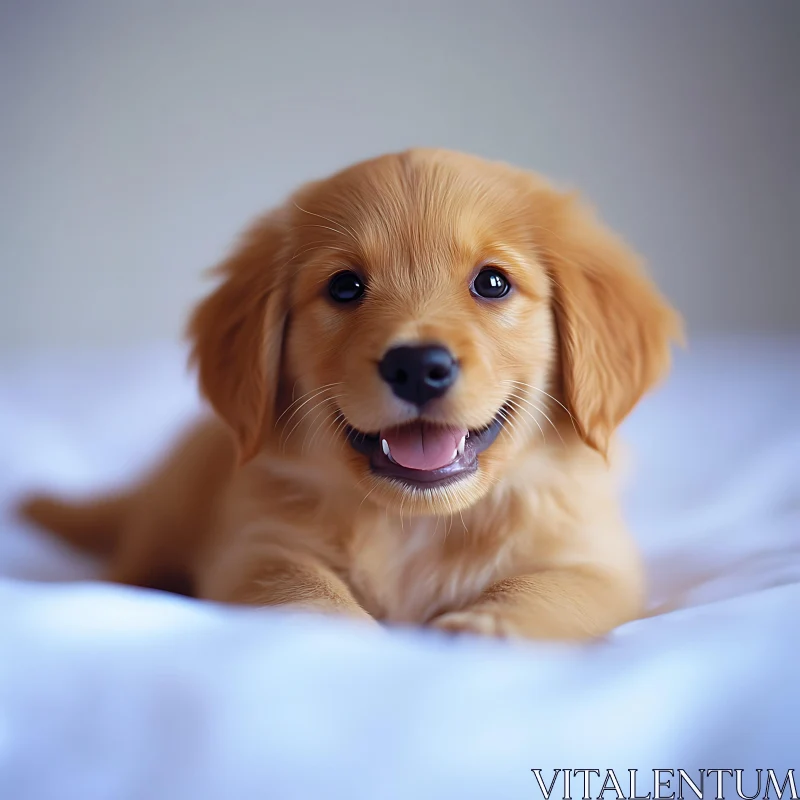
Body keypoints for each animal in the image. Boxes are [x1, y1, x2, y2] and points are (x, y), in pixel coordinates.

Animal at [20, 148, 680, 636]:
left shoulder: (595, 557)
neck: (416, 525)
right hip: (169, 510)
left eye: (493, 283)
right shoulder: (258, 546)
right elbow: (299, 589)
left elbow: (548, 589)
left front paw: (483, 630)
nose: (417, 366)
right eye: (344, 287)